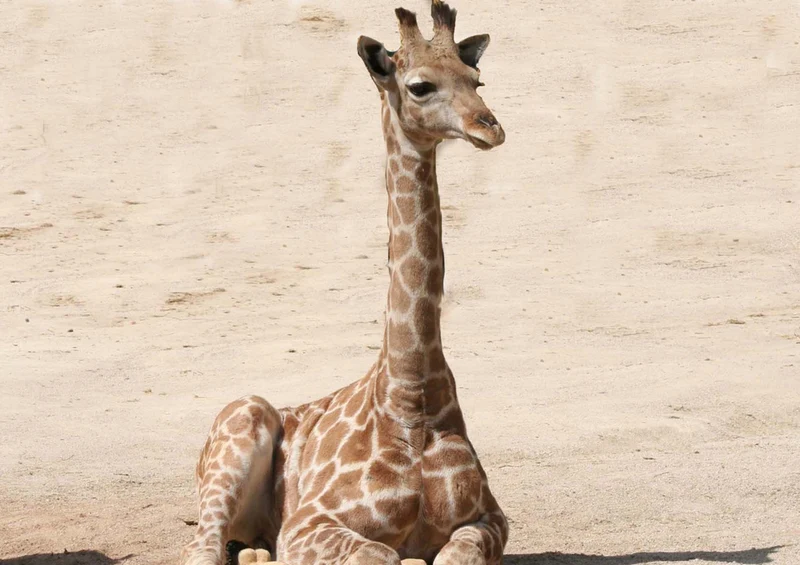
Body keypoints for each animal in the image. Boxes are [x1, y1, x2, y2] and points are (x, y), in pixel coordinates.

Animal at [180, 2, 507, 565]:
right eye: (420, 86)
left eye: (476, 79)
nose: (490, 127)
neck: (411, 398)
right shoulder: (308, 524)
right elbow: (382, 553)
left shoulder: (492, 517)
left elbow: (451, 554)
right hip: (238, 424)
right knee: (202, 548)